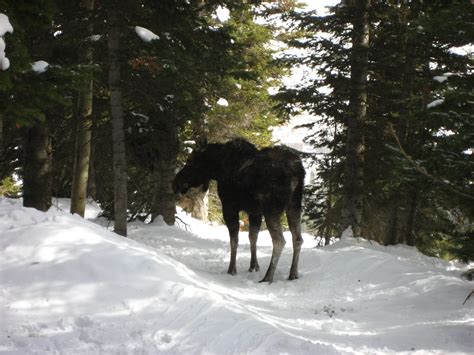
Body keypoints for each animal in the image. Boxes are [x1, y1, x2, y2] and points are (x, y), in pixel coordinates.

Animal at [172, 139, 306, 284]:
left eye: (190, 160)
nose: (175, 183)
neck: (218, 169)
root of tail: (297, 172)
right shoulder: (255, 211)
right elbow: (252, 237)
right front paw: (253, 266)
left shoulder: (229, 206)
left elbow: (234, 240)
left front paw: (232, 269)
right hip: (294, 205)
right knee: (298, 238)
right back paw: (293, 273)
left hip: (271, 208)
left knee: (279, 241)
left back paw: (268, 277)